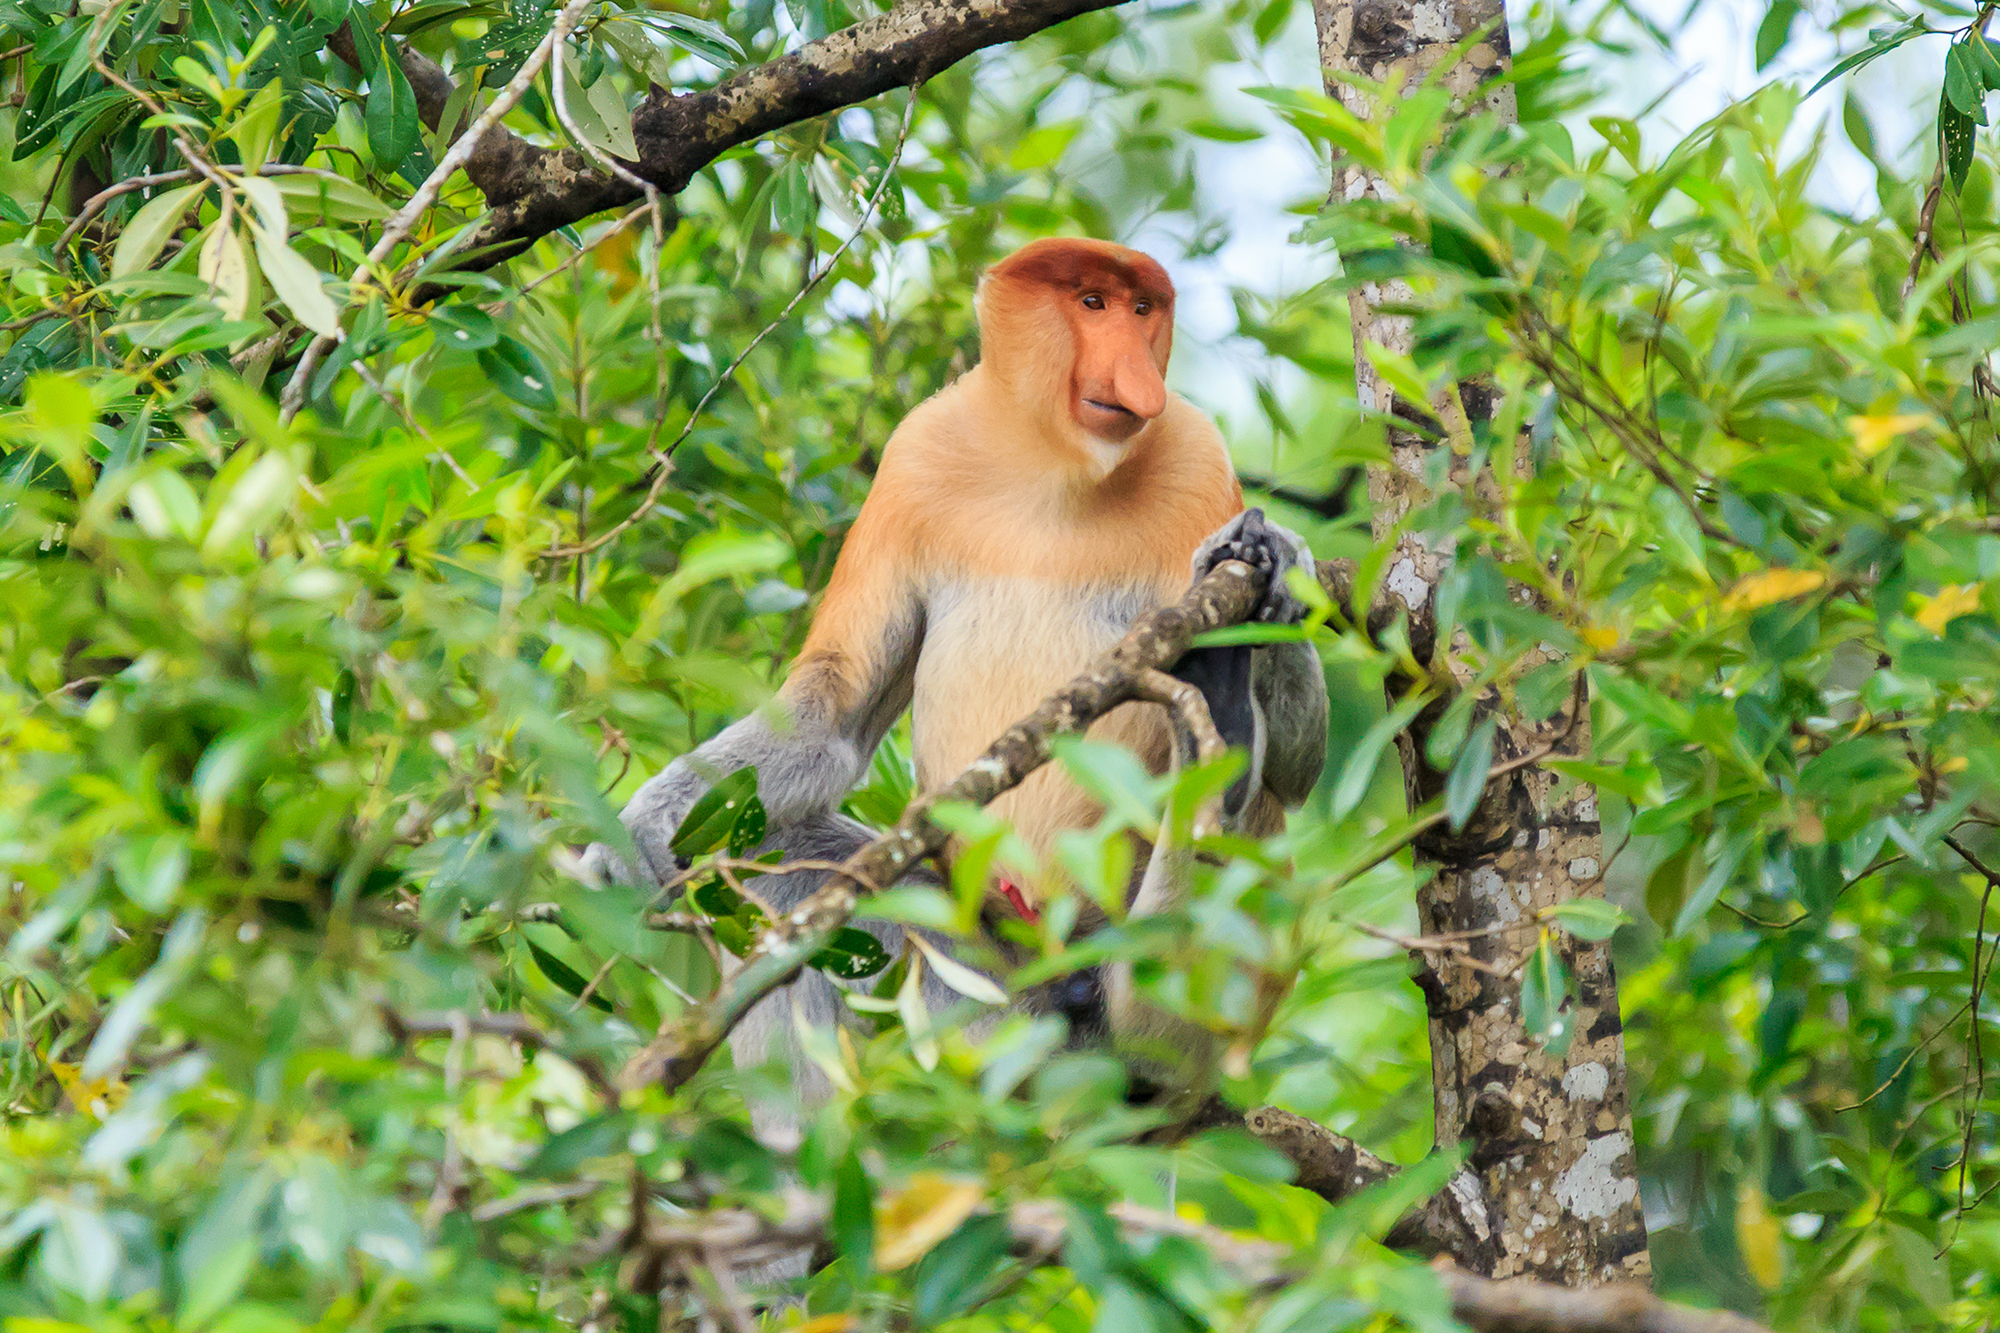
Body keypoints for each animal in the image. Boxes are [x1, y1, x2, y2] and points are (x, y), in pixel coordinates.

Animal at [586, 237, 1328, 1120]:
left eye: (1143, 310)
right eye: (1092, 303)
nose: (1137, 375)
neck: (1057, 468)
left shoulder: (1199, 454)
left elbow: (1302, 770)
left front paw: (1271, 554)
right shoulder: (916, 457)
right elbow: (831, 716)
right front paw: (636, 832)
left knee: (1257, 808)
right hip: (969, 979)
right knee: (759, 866)